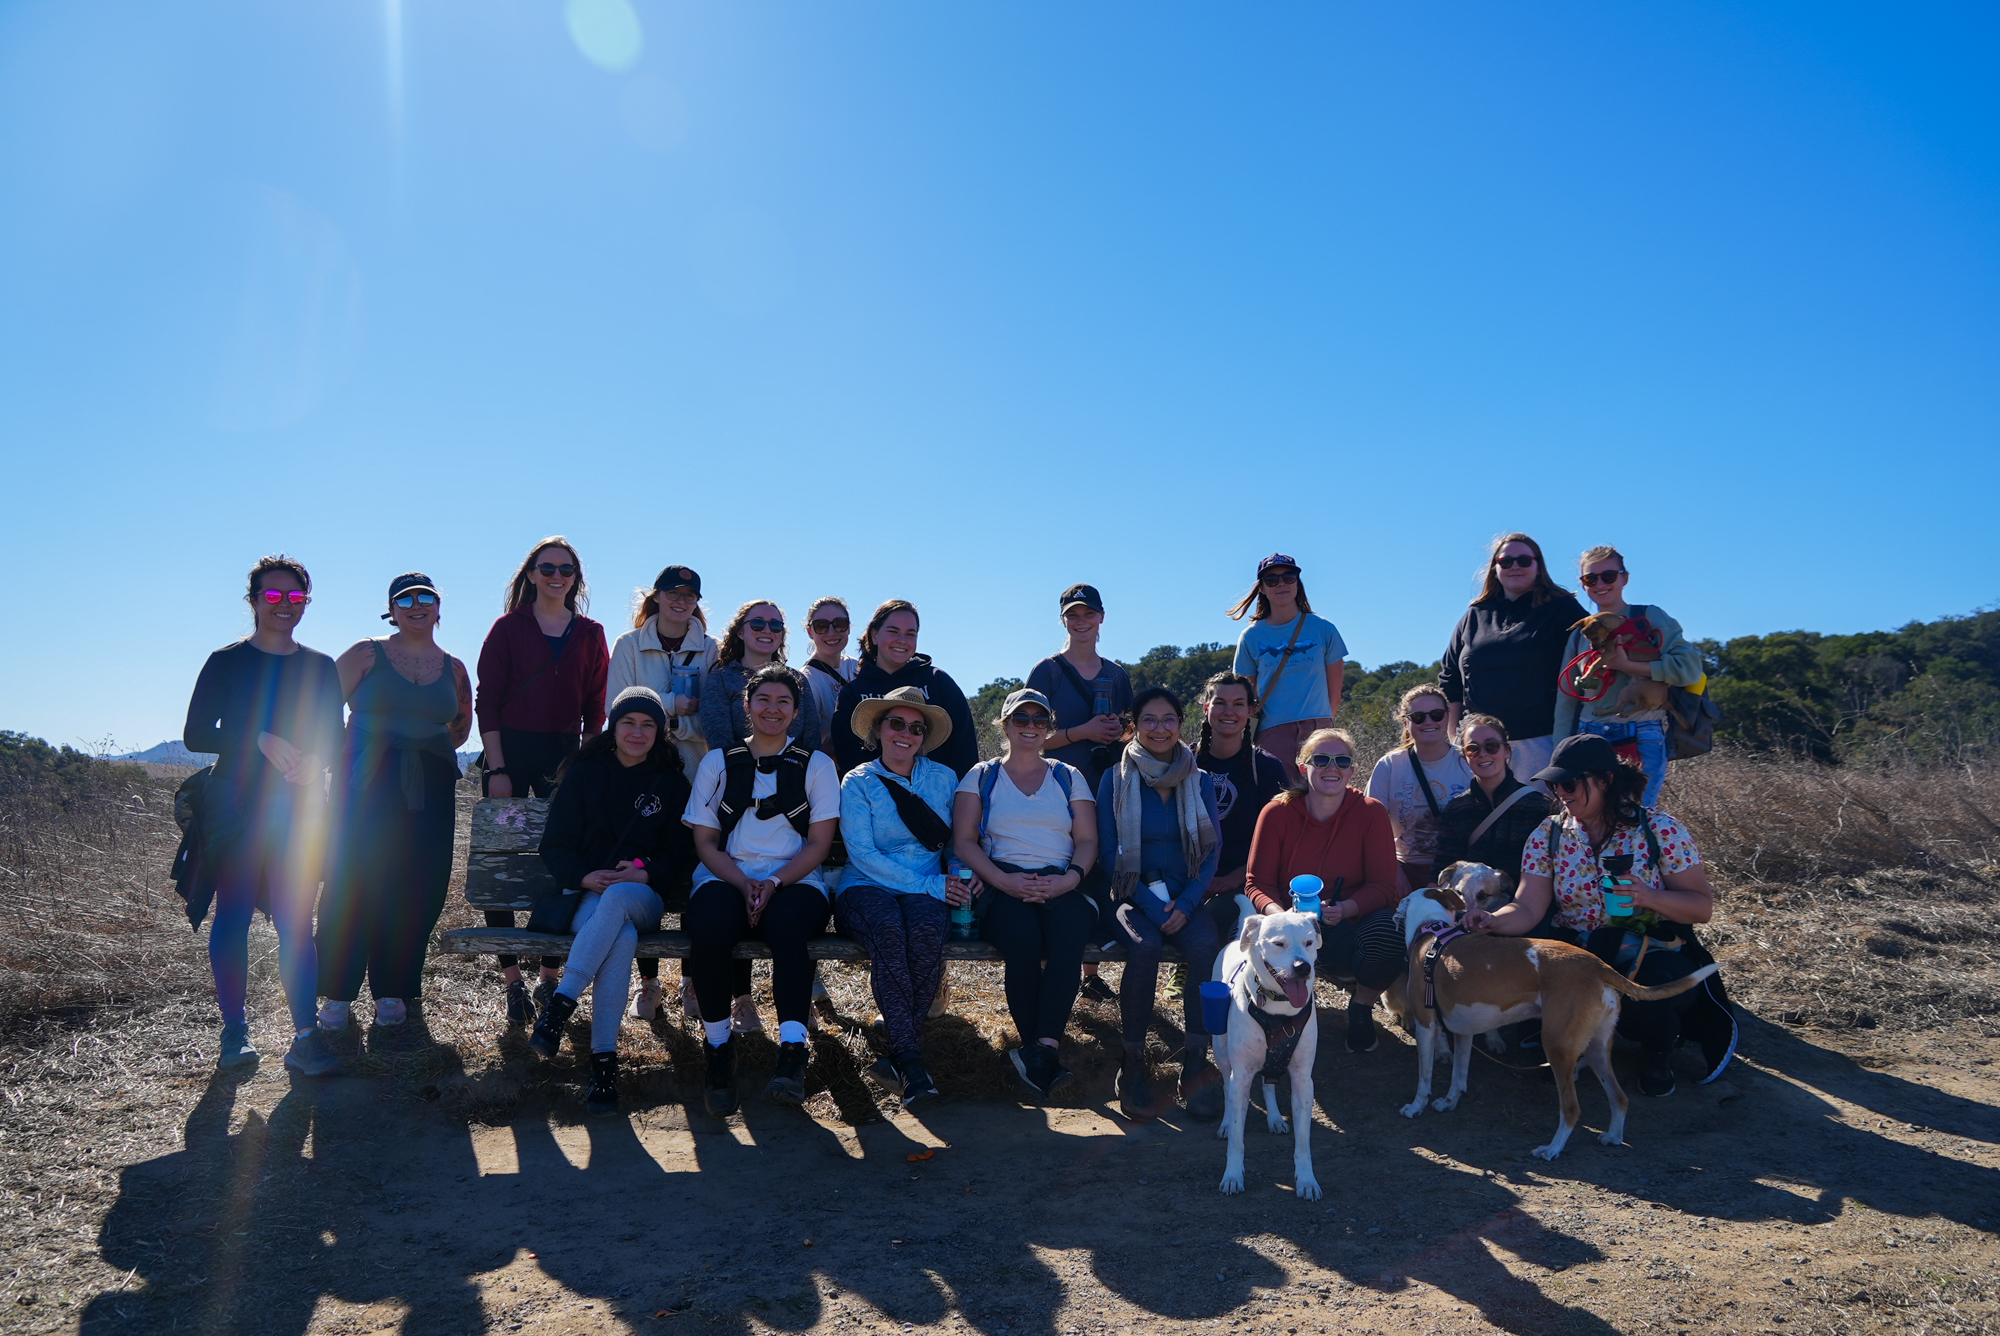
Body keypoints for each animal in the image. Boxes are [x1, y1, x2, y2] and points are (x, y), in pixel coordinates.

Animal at [1208, 908, 1320, 1200]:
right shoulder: (1241, 1076)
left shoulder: (1303, 1081)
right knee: (1227, 1087)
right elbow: (1237, 1138)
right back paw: (1226, 1123)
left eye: (1309, 942)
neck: (1279, 1008)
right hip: (1221, 1051)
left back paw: (1275, 1118)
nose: (1303, 967)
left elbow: (1304, 1143)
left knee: (1268, 1083)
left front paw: (1307, 1180)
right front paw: (1232, 1175)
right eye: (1278, 943)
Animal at [1392, 892, 1720, 1160]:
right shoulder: (1464, 1033)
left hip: (1557, 1047)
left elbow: (1424, 1078)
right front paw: (1449, 1103)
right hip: (1597, 1048)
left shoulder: (1425, 1026)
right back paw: (1613, 1136)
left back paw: (1551, 1149)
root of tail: (1597, 966)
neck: (1431, 932)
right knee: (1619, 1097)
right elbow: (1458, 1078)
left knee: (1572, 1109)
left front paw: (1416, 1107)